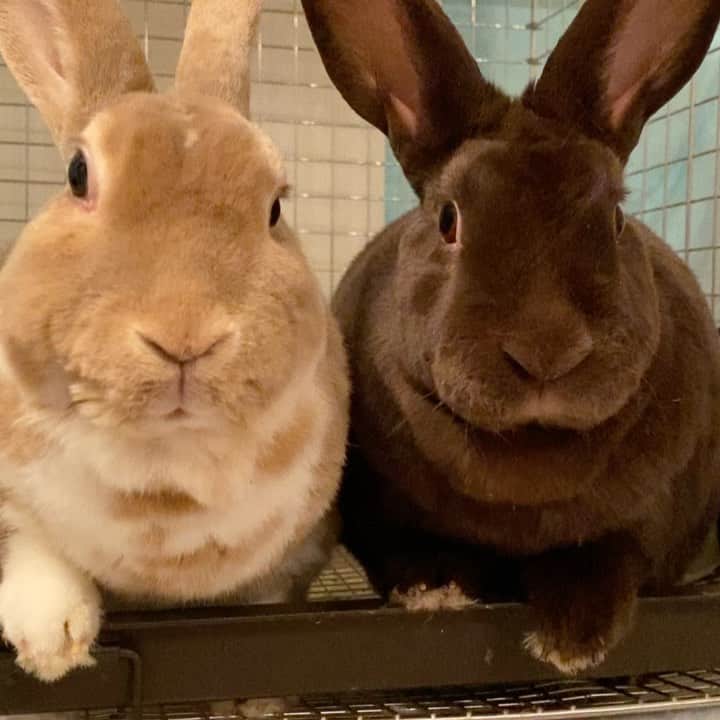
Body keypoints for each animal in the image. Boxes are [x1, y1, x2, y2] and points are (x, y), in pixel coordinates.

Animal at [0, 0, 349, 683]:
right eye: (77, 174)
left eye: (274, 208)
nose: (184, 337)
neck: (165, 468)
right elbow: (32, 547)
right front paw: (52, 646)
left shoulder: (292, 558)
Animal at [302, 0, 720, 674]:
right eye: (448, 220)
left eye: (617, 219)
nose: (547, 350)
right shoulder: (381, 518)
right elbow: (408, 550)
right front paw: (437, 589)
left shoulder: (647, 520)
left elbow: (608, 554)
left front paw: (572, 640)